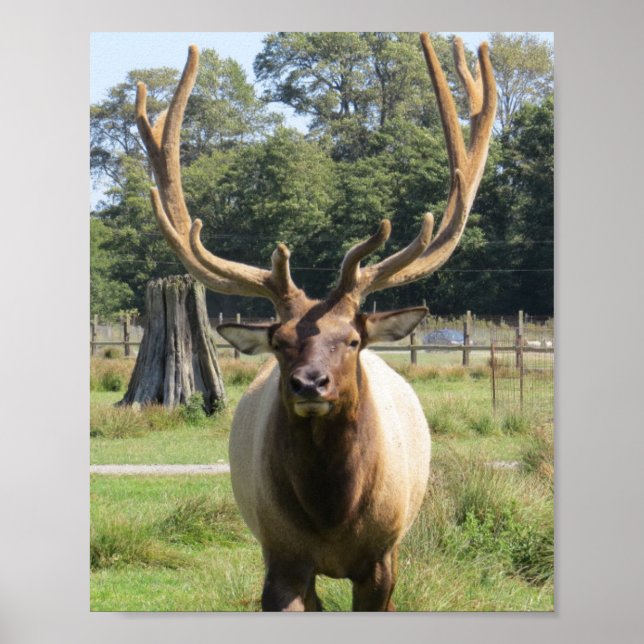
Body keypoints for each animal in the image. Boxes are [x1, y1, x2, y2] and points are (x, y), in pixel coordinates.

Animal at [135, 32, 496, 611]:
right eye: (280, 341)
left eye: (351, 340)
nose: (310, 384)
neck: (333, 515)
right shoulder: (281, 556)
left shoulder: (382, 560)